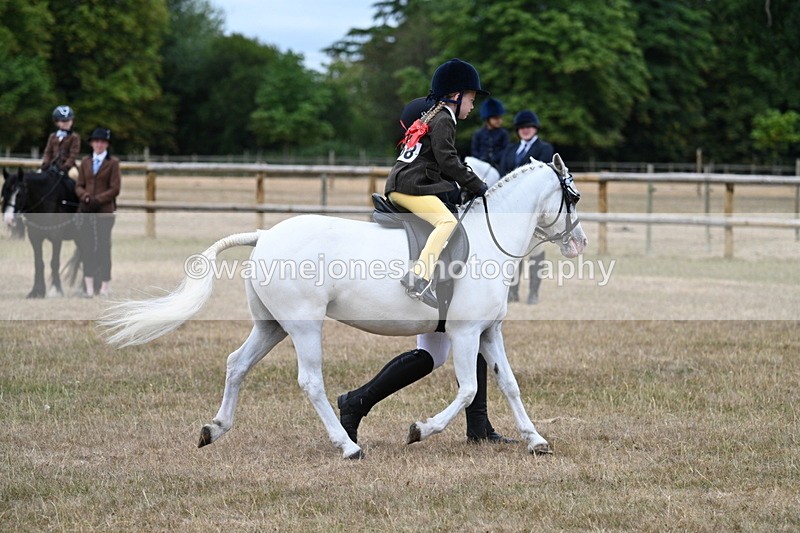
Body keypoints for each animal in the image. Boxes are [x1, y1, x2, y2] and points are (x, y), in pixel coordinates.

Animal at [2, 167, 81, 298]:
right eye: (3, 193)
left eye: (19, 194)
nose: (8, 220)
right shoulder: (34, 237)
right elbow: (38, 262)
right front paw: (36, 291)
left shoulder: (56, 237)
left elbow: (54, 262)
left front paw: (56, 290)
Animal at [101, 154, 588, 459]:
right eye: (574, 197)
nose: (579, 242)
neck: (489, 238)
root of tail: (265, 235)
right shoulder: (466, 333)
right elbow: (469, 389)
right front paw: (421, 430)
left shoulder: (488, 332)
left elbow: (508, 384)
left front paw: (535, 440)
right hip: (303, 326)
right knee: (310, 381)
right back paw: (348, 445)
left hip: (272, 325)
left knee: (237, 363)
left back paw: (215, 428)